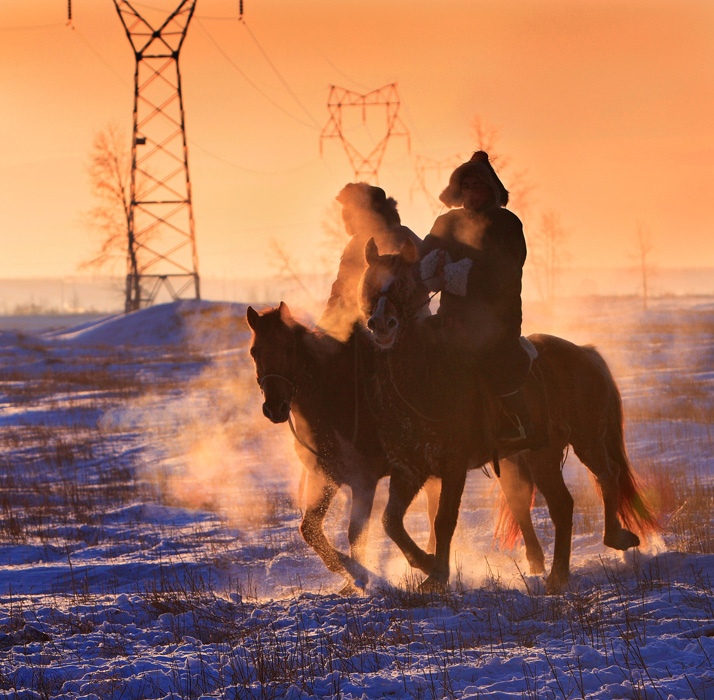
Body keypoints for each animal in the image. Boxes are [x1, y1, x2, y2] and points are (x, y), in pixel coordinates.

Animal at [245, 304, 436, 592]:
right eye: (254, 351)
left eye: (289, 348)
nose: (275, 407)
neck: (334, 401)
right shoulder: (326, 478)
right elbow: (310, 529)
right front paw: (350, 576)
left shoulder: (364, 481)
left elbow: (355, 531)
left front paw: (361, 574)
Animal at [356, 238, 656, 592]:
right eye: (368, 283)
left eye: (403, 283)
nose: (381, 324)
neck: (426, 378)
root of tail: (586, 353)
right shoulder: (410, 471)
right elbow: (391, 521)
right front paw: (426, 565)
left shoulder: (454, 466)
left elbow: (443, 521)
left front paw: (438, 573)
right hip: (542, 454)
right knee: (561, 504)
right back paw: (557, 573)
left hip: (587, 441)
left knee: (606, 478)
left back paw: (604, 546)